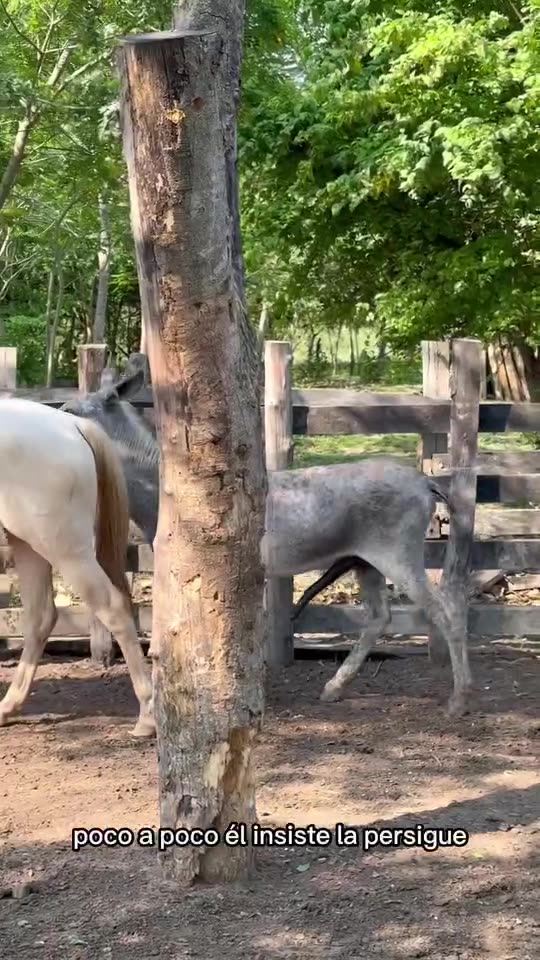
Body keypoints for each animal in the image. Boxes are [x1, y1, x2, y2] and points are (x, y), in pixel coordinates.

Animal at [0, 398, 155, 737]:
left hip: (64, 551)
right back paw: (8, 707)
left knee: (113, 608)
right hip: (28, 546)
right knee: (41, 617)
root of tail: (73, 426)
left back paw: (147, 716)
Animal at [61, 369, 471, 716]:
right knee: (380, 616)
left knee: (446, 611)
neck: (154, 510)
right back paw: (334, 687)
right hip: (365, 560)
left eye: (69, 409)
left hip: (397, 551)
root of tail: (428, 485)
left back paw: (459, 699)